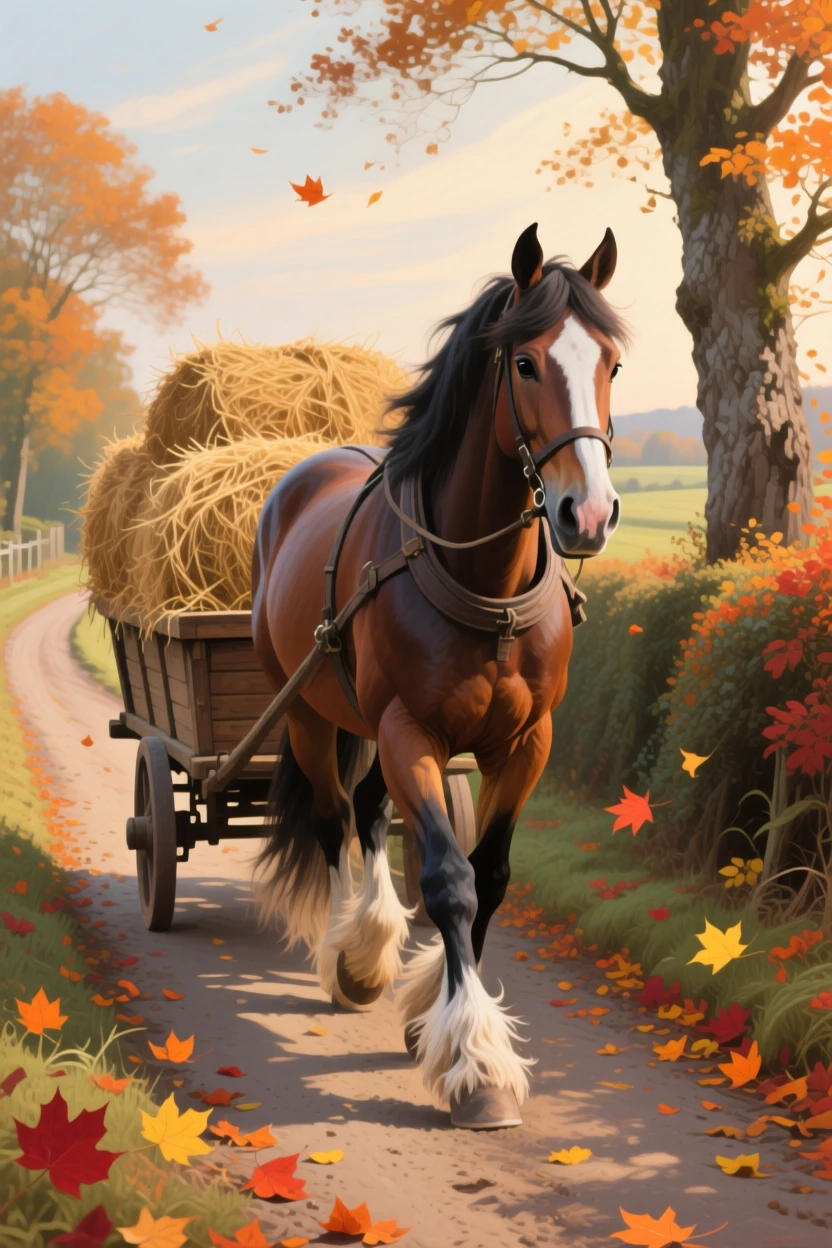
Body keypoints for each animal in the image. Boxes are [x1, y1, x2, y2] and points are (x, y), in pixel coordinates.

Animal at [251, 222, 628, 1129]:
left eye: (611, 362)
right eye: (524, 362)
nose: (589, 514)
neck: (484, 584)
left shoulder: (526, 744)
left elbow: (488, 878)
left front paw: (437, 1020)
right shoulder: (409, 734)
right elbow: (448, 880)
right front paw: (476, 1064)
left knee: (364, 810)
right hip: (313, 715)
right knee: (332, 820)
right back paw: (348, 957)